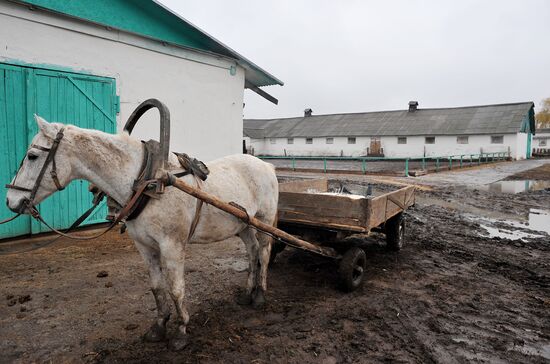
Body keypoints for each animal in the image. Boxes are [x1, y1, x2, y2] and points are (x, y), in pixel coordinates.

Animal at [5, 116, 278, 350]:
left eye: (32, 156)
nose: (11, 200)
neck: (147, 183)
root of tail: (266, 164)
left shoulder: (172, 246)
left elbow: (176, 289)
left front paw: (180, 332)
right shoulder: (145, 246)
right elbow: (157, 287)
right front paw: (159, 328)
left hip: (264, 221)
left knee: (264, 253)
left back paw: (260, 295)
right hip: (244, 225)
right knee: (252, 252)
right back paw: (247, 293)